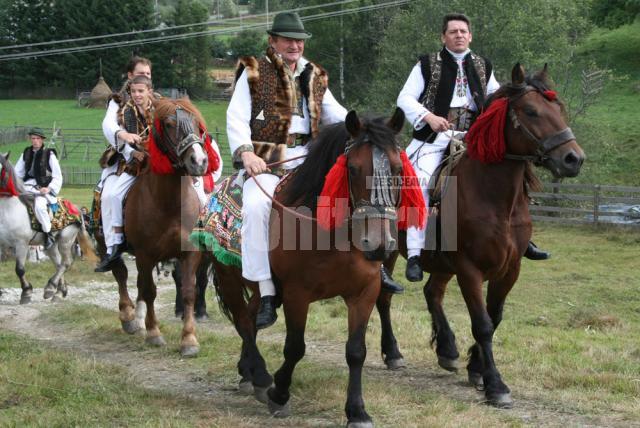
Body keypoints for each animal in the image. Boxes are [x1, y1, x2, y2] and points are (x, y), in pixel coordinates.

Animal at [96, 98, 219, 356]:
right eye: (170, 124)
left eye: (196, 123)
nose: (199, 161)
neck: (169, 203)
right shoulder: (145, 254)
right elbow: (149, 290)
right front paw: (154, 333)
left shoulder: (190, 253)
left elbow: (189, 291)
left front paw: (189, 340)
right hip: (109, 246)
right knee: (121, 274)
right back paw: (129, 317)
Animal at [380, 64, 584, 408]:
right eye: (531, 111)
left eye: (559, 109)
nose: (573, 158)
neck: (494, 198)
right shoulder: (469, 269)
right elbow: (483, 324)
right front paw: (495, 384)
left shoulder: (510, 268)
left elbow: (495, 316)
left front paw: (476, 368)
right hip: (391, 254)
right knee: (384, 296)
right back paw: (393, 352)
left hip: (442, 265)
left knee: (432, 293)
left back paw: (447, 350)